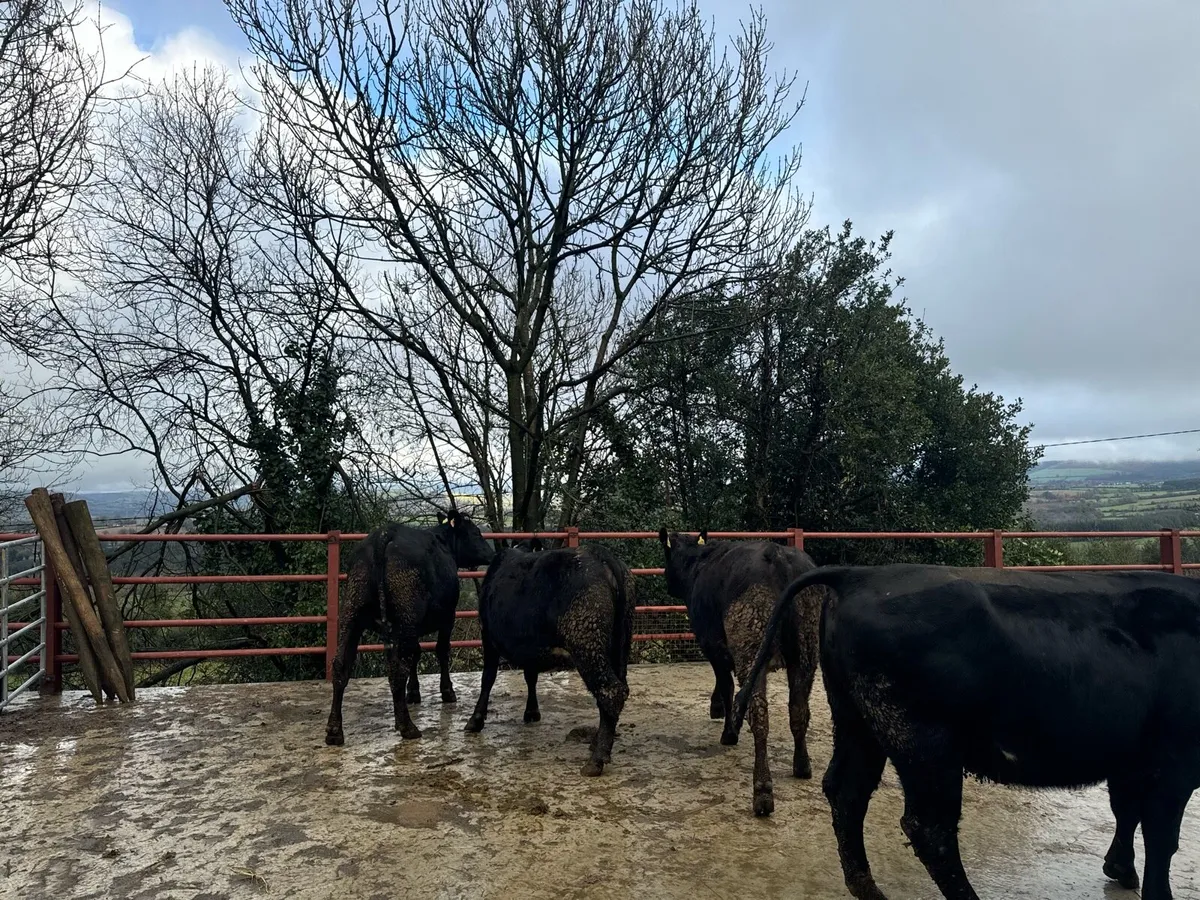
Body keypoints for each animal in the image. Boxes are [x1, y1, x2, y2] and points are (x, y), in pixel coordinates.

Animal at [324, 511, 495, 747]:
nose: (491, 554)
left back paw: (334, 730)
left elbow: (416, 653)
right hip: (406, 617)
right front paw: (447, 691)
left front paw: (412, 693)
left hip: (353, 612)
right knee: (397, 670)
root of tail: (383, 535)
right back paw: (407, 727)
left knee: (342, 665)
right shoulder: (447, 617)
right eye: (476, 533)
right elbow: (441, 650)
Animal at [464, 539, 635, 777]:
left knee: (611, 691)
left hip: (586, 642)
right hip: (620, 644)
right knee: (619, 688)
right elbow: (530, 676)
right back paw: (598, 742)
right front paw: (532, 711)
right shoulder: (529, 647)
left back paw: (596, 759)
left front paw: (476, 720)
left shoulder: (487, 636)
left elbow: (487, 678)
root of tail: (601, 556)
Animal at [659, 528, 825, 816]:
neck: (697, 562)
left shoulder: (712, 645)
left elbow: (725, 686)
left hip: (751, 646)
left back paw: (763, 790)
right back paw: (802, 765)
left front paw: (728, 729)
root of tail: (777, 554)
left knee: (759, 714)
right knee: (798, 709)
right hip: (806, 651)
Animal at [733, 564, 1200, 900]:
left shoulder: (1134, 761)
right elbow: (1162, 838)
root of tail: (860, 575)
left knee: (847, 792)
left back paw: (867, 888)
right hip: (925, 743)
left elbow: (1127, 812)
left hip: (858, 724)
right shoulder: (1173, 765)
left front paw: (1121, 868)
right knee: (930, 827)